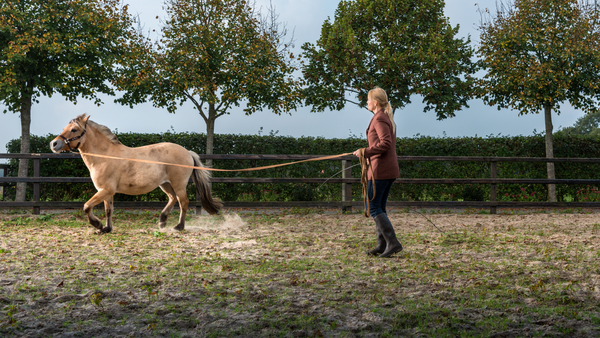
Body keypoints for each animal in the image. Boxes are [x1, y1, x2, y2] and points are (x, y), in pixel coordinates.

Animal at [48, 113, 223, 232]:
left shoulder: (105, 190)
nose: (54, 144)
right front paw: (106, 229)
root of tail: (187, 152)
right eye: (64, 128)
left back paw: (178, 226)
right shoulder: (107, 192)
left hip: (178, 184)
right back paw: (162, 221)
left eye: (74, 129)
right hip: (165, 184)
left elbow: (86, 206)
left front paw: (97, 225)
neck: (105, 156)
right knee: (172, 199)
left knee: (183, 201)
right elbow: (108, 210)